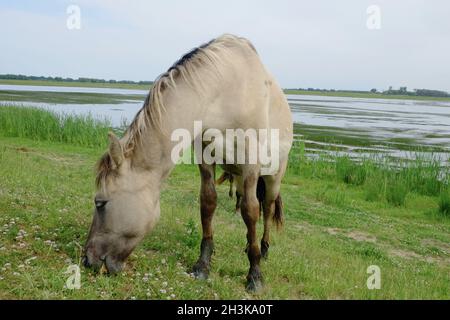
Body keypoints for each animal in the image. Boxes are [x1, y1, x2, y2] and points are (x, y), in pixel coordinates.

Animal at [82, 33, 294, 292]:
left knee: (267, 208)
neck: (226, 91)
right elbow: (208, 203)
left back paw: (262, 249)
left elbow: (251, 211)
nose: (87, 259)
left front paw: (254, 275)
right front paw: (202, 265)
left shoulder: (251, 162)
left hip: (273, 176)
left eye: (100, 203)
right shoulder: (205, 156)